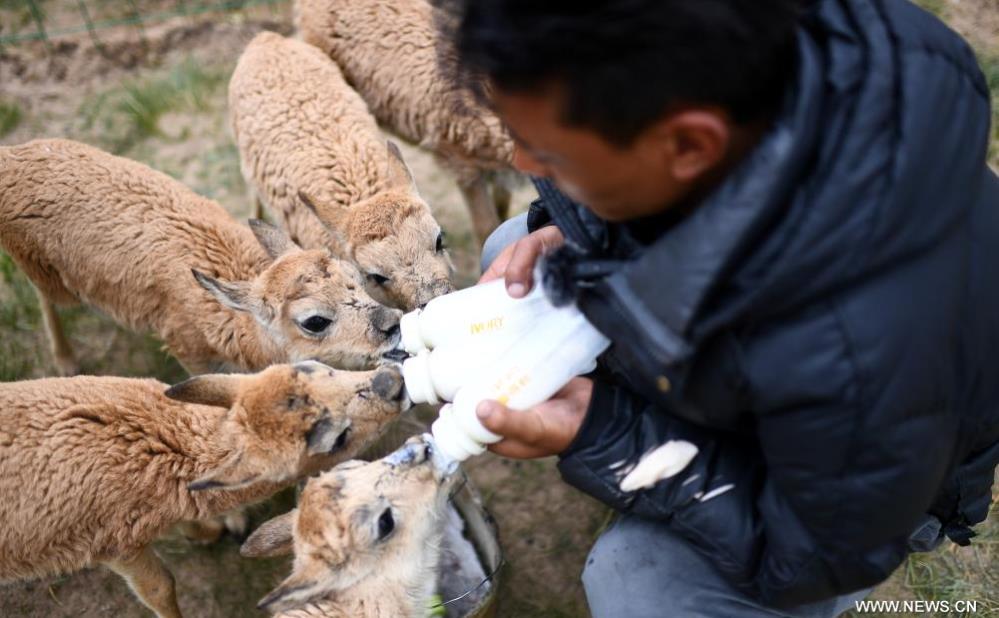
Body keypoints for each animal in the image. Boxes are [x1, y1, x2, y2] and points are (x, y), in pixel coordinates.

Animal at [0, 138, 398, 372]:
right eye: (314, 320)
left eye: (357, 277)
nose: (391, 323)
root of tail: (12, 156)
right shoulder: (187, 351)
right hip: (47, 275)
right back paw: (66, 361)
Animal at [0, 360, 410, 616]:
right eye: (337, 439)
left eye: (316, 367)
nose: (392, 383)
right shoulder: (112, 544)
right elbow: (161, 588)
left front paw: (205, 532)